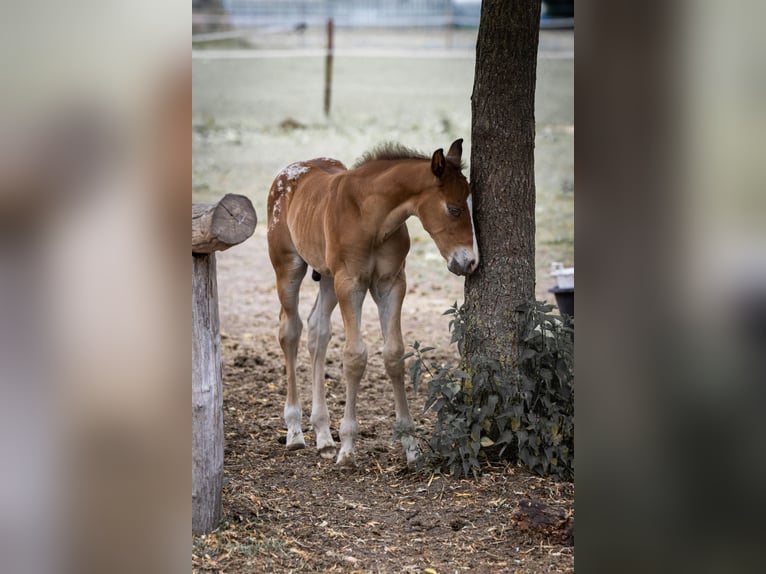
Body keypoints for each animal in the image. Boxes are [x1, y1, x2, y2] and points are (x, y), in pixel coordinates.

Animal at [266, 138, 478, 466]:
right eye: (454, 209)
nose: (469, 262)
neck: (372, 217)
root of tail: (288, 172)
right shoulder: (350, 283)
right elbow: (355, 357)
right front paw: (348, 447)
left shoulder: (390, 283)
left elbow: (394, 355)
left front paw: (411, 446)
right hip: (288, 266)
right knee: (290, 330)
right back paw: (295, 431)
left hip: (327, 277)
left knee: (317, 330)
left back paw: (324, 436)